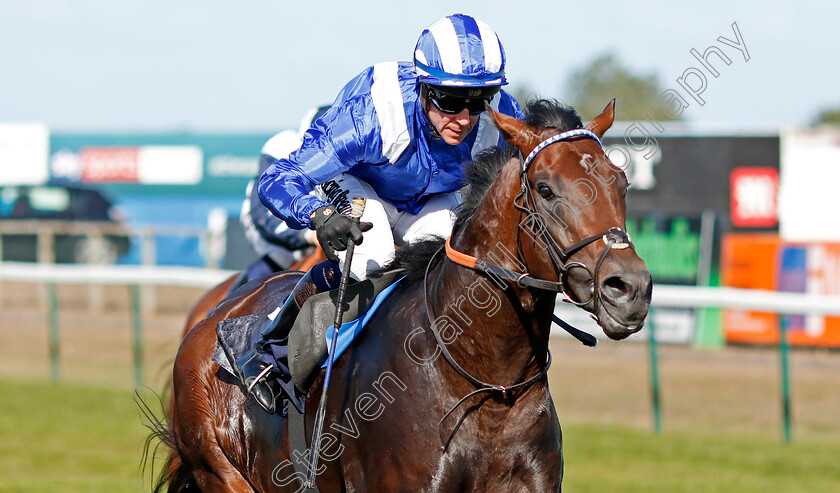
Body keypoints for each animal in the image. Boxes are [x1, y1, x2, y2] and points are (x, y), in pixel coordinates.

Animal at [154, 98, 652, 490]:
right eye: (545, 189)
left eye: (621, 183)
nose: (629, 288)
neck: (486, 380)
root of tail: (208, 322)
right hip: (220, 472)